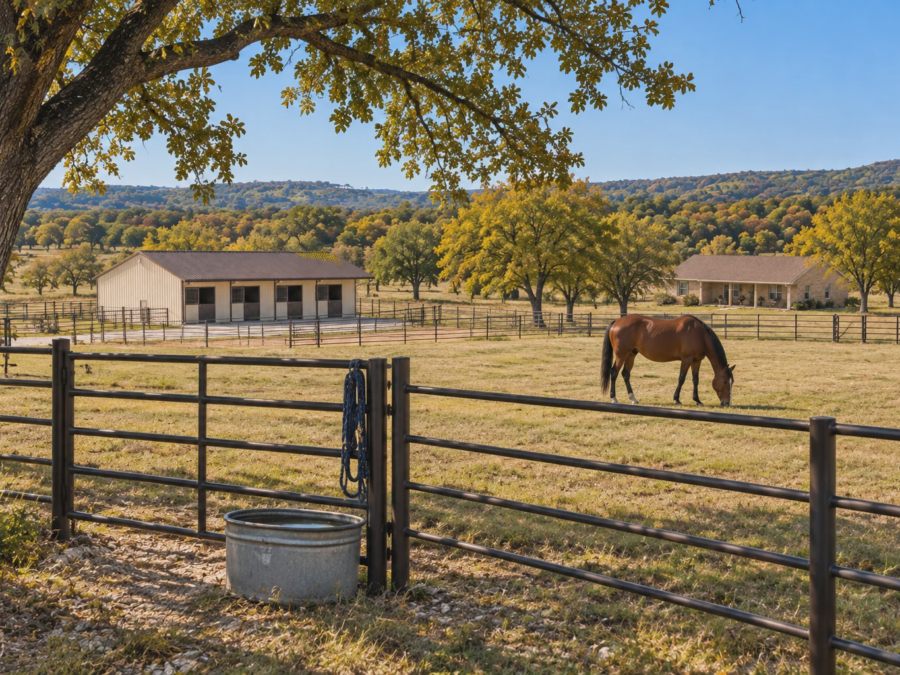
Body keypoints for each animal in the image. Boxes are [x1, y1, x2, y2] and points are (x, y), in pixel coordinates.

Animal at [600, 315, 735, 406]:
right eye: (724, 381)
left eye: (732, 382)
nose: (727, 403)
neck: (699, 334)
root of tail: (616, 322)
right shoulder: (686, 360)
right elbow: (681, 378)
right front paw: (676, 399)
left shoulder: (696, 361)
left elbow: (695, 380)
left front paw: (697, 400)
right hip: (621, 355)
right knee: (614, 373)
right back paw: (614, 398)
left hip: (631, 354)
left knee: (625, 374)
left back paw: (633, 398)